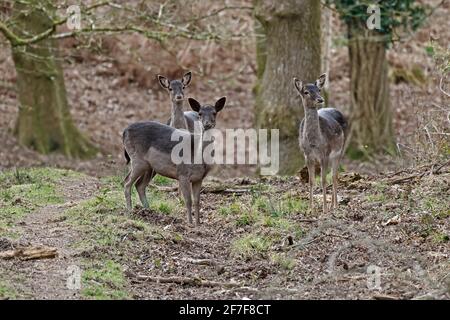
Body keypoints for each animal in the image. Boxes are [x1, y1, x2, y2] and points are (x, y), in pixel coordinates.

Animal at [122, 97, 225, 225]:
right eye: (200, 113)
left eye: (214, 113)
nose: (207, 124)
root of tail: (124, 132)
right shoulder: (183, 174)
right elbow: (188, 200)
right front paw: (190, 223)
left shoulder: (199, 178)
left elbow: (197, 200)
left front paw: (198, 223)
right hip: (137, 160)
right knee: (126, 182)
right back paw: (130, 212)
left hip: (150, 168)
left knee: (139, 185)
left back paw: (148, 211)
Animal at [294, 73, 350, 215]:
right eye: (306, 92)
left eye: (319, 90)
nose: (320, 99)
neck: (314, 142)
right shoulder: (307, 155)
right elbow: (311, 181)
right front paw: (311, 209)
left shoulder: (325, 154)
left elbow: (324, 181)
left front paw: (324, 209)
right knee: (333, 175)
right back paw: (332, 205)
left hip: (340, 150)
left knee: (335, 176)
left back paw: (334, 206)